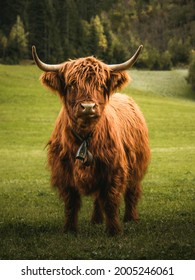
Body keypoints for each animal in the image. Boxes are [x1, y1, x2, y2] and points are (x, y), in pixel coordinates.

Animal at [32, 45, 150, 234]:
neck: (85, 136)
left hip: (136, 164)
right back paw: (96, 219)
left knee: (132, 190)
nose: (88, 107)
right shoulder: (64, 171)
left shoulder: (113, 170)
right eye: (72, 84)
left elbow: (110, 201)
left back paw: (130, 218)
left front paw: (113, 231)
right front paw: (70, 230)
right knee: (97, 198)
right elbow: (71, 203)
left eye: (101, 85)